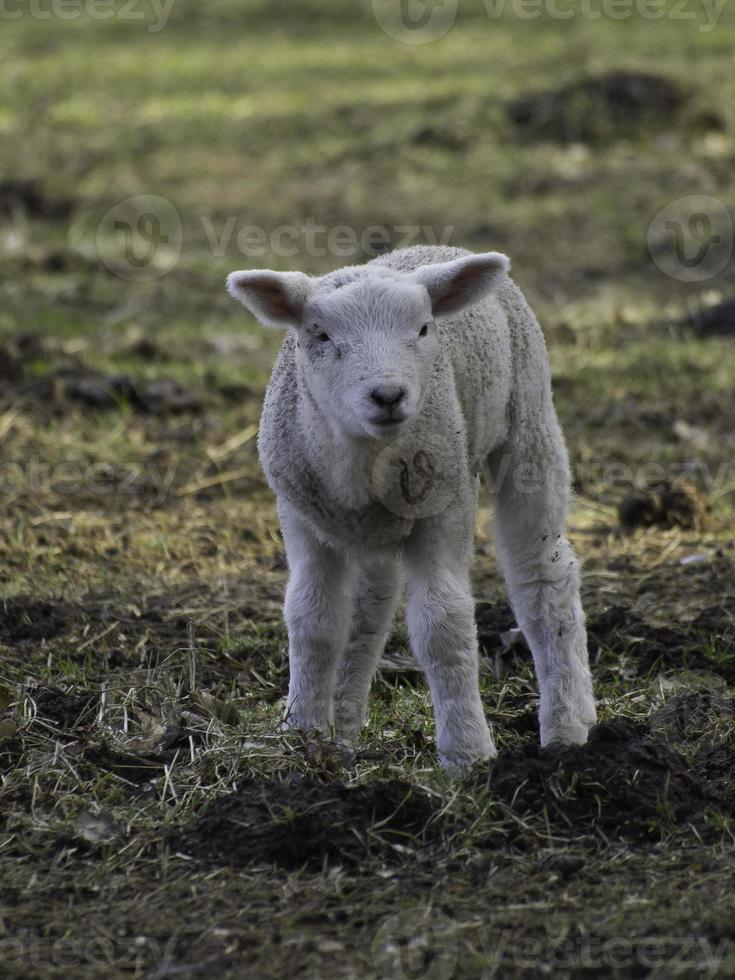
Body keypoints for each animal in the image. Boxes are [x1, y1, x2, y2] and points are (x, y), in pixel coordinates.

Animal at [229, 245, 600, 772]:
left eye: (423, 329)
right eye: (320, 335)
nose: (387, 395)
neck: (362, 461)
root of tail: (442, 249)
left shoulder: (444, 507)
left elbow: (442, 623)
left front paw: (468, 754)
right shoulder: (299, 514)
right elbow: (312, 618)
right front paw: (300, 735)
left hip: (529, 420)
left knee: (544, 578)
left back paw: (567, 726)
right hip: (370, 530)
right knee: (370, 609)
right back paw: (343, 730)